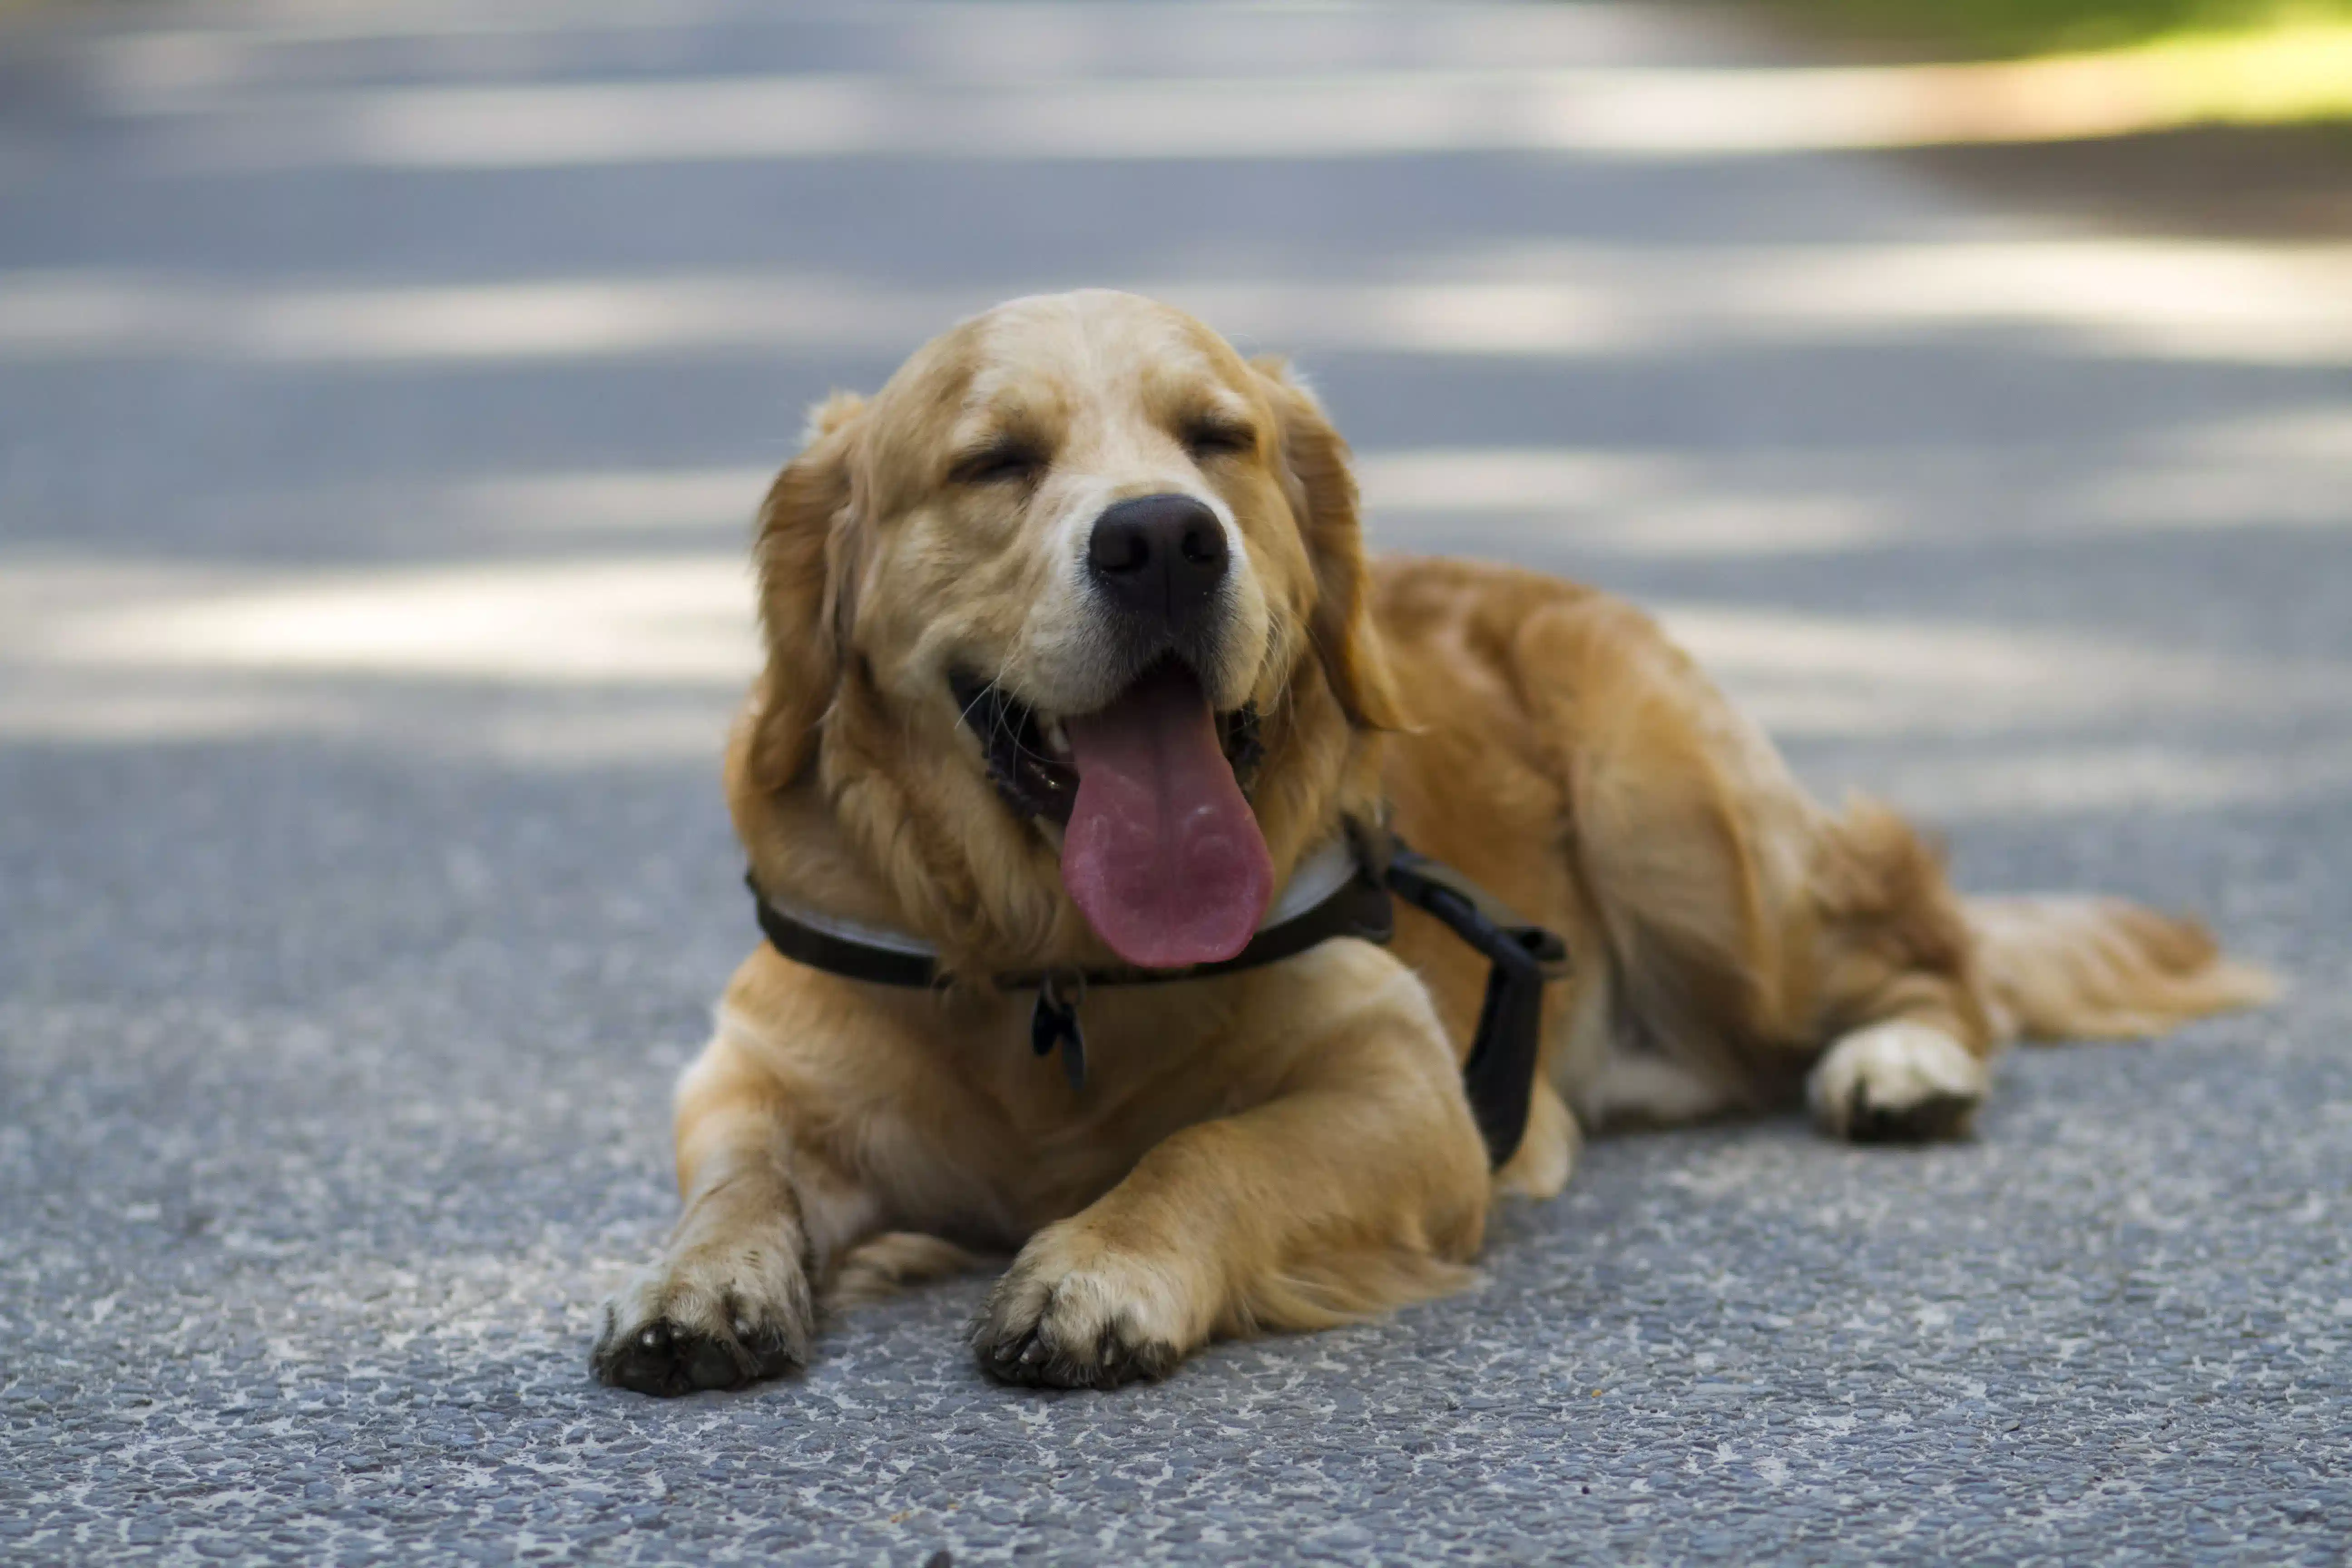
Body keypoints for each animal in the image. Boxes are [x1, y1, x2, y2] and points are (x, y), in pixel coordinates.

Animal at [588, 288, 2277, 1392]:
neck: (1048, 970)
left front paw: (1096, 1262)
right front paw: (696, 1278)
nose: (1163, 538)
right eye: (994, 460)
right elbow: (735, 1182)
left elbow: (1206, 1148)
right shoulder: (748, 1071)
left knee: (1926, 944)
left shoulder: (1406, 1087)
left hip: (1690, 834)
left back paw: (1902, 1064)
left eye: (1218, 439)